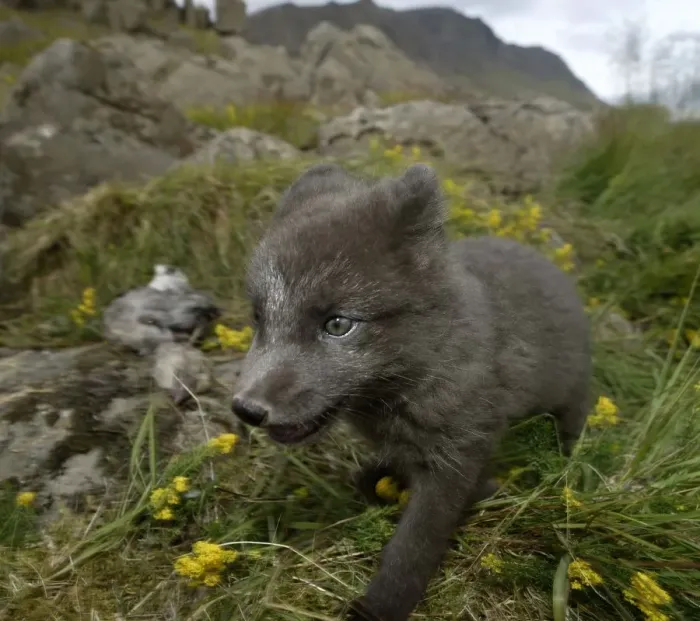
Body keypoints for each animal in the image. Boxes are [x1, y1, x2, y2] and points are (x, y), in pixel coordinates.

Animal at [230, 162, 592, 621]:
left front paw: (381, 607)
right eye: (259, 318)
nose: (247, 408)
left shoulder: (458, 453)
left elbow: (415, 544)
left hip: (570, 400)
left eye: (337, 324)